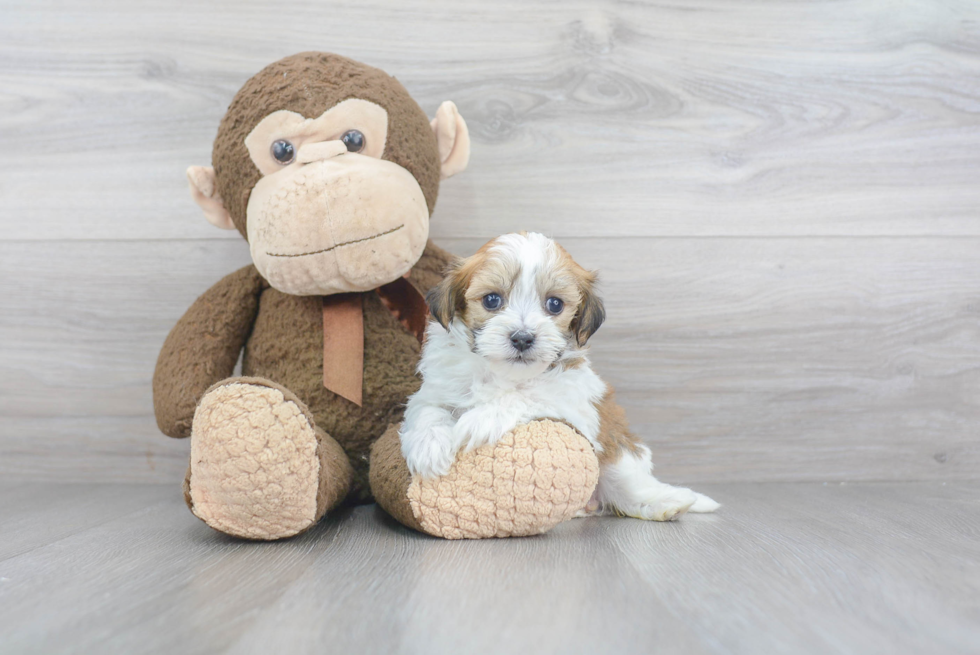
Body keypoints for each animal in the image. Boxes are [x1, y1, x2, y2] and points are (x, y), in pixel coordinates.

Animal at [400, 233, 720, 520]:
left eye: (554, 304)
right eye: (491, 300)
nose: (522, 338)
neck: (504, 374)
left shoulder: (574, 405)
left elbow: (529, 395)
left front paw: (482, 418)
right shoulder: (435, 390)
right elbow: (428, 410)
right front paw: (428, 448)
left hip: (618, 458)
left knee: (628, 489)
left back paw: (668, 503)